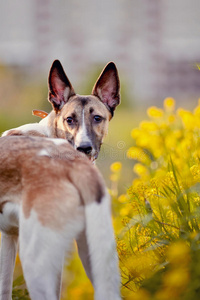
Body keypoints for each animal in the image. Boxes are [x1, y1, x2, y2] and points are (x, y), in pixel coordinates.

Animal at [0, 60, 120, 298]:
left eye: (97, 118)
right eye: (69, 120)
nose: (84, 148)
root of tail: (72, 164)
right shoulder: (9, 236)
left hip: (34, 261)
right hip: (97, 258)